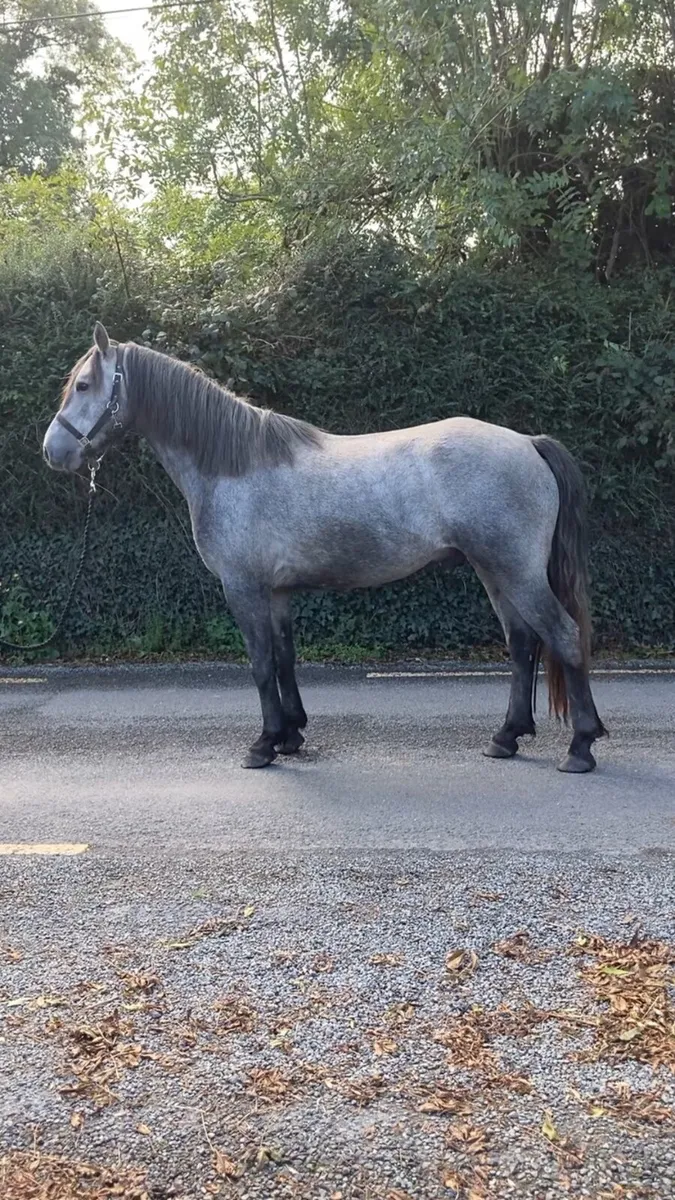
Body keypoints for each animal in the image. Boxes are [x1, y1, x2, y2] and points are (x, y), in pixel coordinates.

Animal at [43, 322, 606, 773]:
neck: (233, 465)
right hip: (495, 571)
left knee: (563, 636)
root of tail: (527, 442)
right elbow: (284, 659)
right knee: (522, 645)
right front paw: (290, 734)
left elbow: (260, 663)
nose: (53, 451)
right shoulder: (276, 593)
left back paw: (580, 747)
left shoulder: (243, 589)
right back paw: (506, 737)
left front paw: (263, 745)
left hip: (517, 571)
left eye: (84, 385)